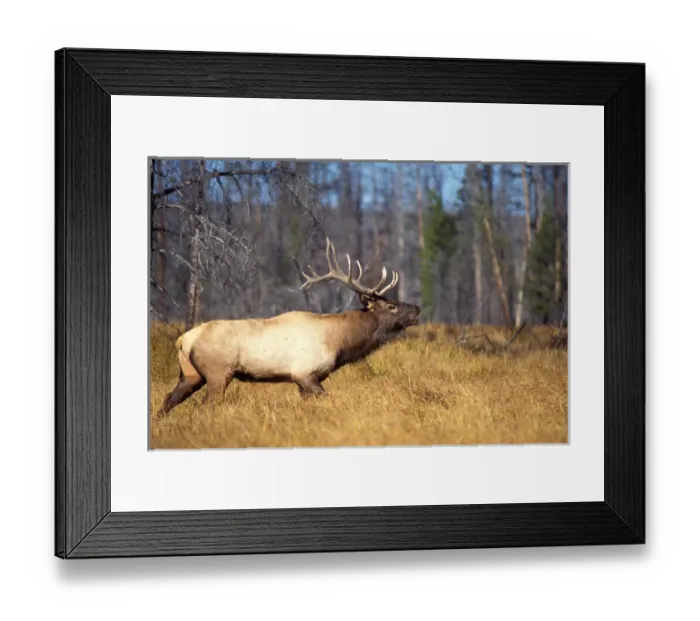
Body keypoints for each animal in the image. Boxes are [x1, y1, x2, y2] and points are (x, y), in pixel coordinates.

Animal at [157, 237, 421, 416]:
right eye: (392, 307)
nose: (417, 309)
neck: (339, 343)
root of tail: (183, 340)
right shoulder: (305, 374)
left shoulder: (304, 380)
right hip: (217, 373)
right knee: (205, 405)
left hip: (190, 374)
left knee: (168, 400)